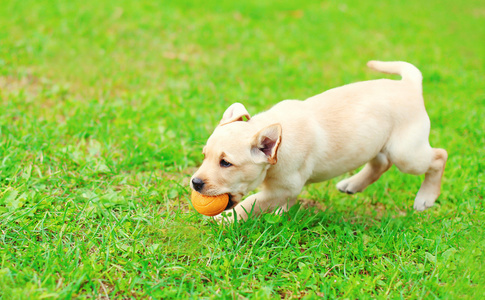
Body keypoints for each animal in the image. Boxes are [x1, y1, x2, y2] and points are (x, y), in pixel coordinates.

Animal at [189, 60, 446, 223]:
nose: (195, 183)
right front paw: (282, 215)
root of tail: (410, 85)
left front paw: (226, 219)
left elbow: (251, 202)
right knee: (380, 163)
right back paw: (352, 184)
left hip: (406, 152)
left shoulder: (284, 186)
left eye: (226, 163)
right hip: (378, 143)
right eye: (205, 156)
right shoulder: (286, 188)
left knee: (439, 156)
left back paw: (425, 199)